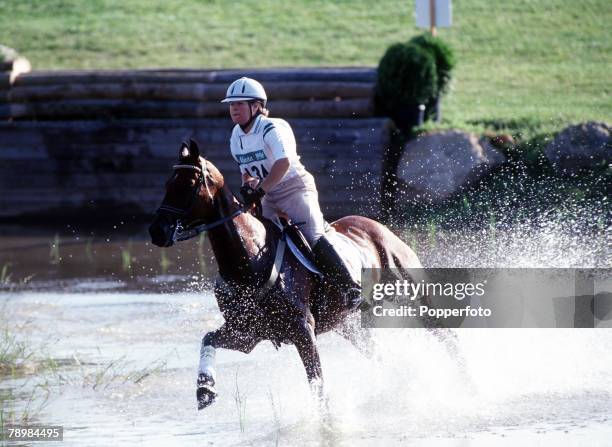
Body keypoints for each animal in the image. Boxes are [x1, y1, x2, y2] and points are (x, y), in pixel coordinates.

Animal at [148, 139, 426, 410]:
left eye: (188, 185)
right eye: (167, 184)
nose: (157, 231)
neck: (249, 262)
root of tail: (380, 228)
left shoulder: (303, 331)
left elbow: (318, 386)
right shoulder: (246, 334)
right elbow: (208, 339)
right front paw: (205, 388)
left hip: (413, 294)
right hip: (348, 325)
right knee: (379, 355)